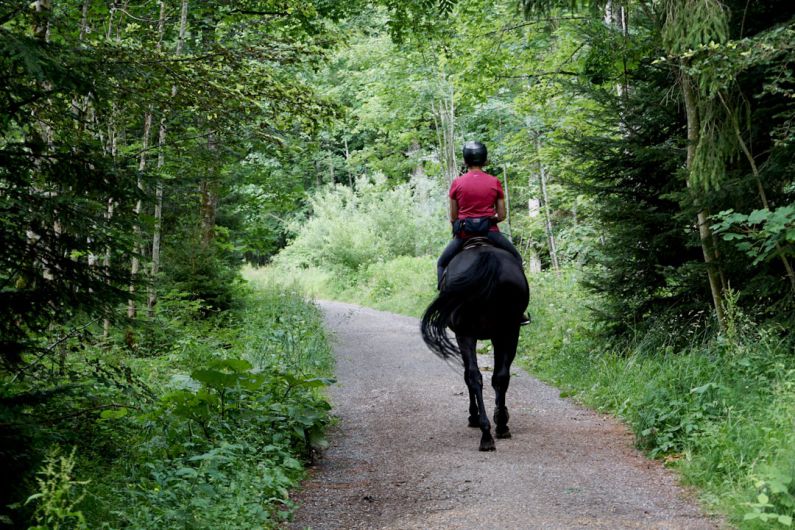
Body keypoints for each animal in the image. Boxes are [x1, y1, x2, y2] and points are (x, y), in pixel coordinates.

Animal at [422, 240, 528, 450]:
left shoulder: (465, 335)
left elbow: (467, 375)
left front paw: (474, 415)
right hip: (509, 331)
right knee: (499, 376)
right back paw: (498, 427)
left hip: (467, 333)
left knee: (474, 376)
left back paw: (485, 430)